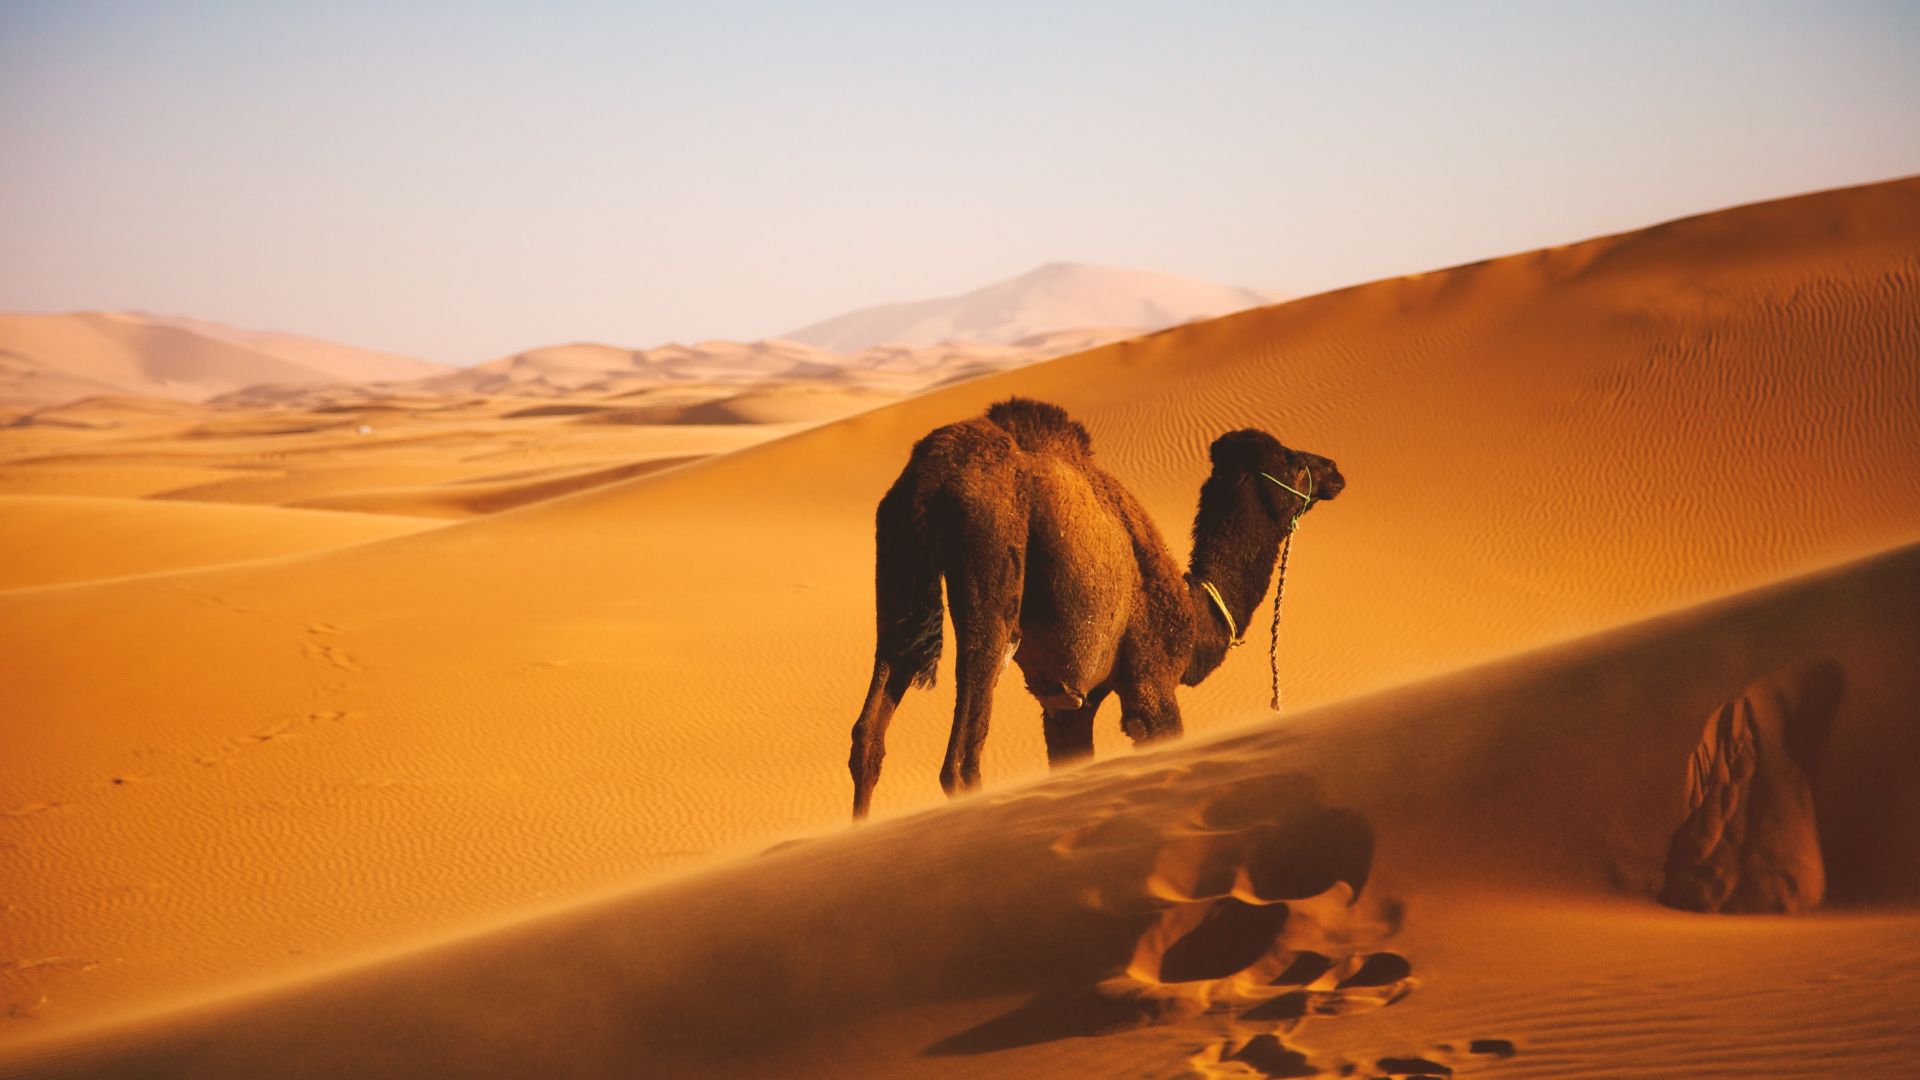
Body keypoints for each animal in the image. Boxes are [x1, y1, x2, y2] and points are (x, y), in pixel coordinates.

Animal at [848, 397, 1344, 818]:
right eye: (1291, 460)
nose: (1334, 469)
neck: (1192, 615)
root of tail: (931, 471)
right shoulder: (1149, 683)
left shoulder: (1070, 704)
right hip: (989, 562)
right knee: (961, 758)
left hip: (897, 562)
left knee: (870, 730)